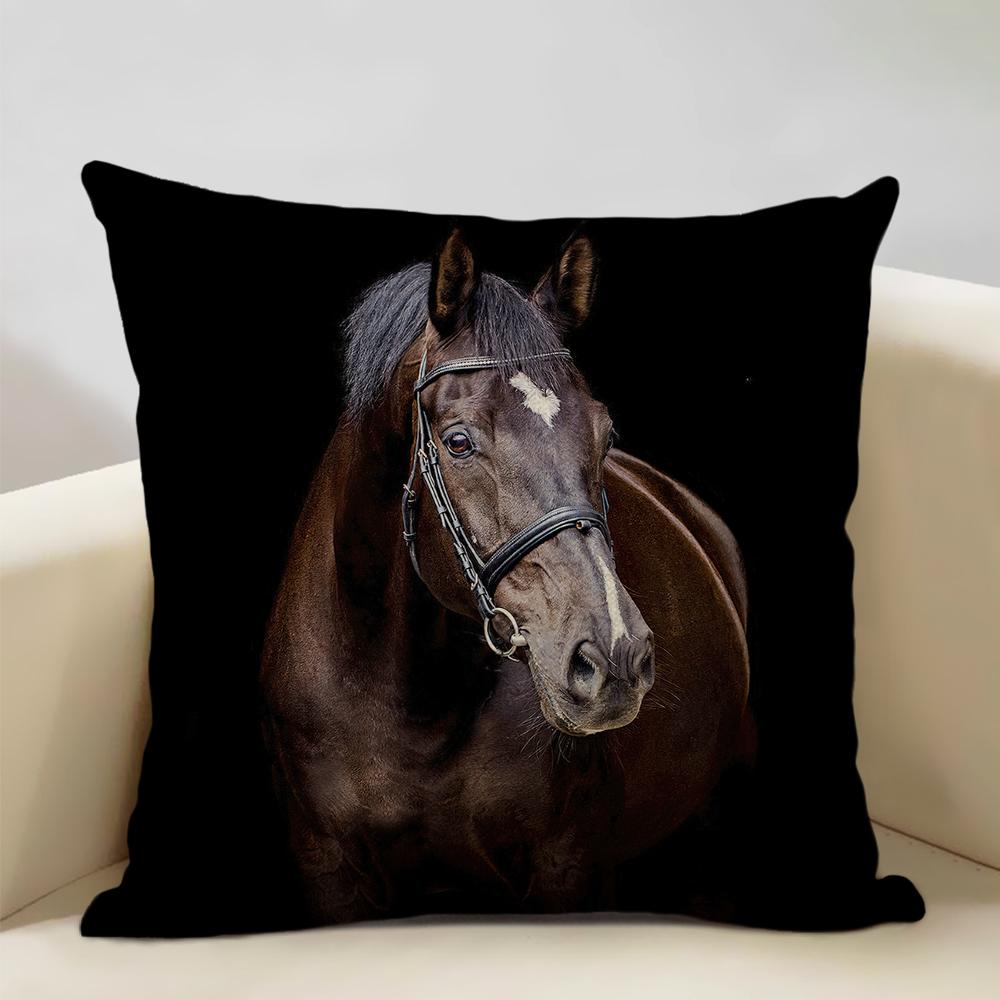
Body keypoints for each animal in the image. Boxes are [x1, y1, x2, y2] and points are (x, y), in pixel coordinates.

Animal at [260, 230, 752, 924]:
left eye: (605, 432)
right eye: (459, 442)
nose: (616, 657)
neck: (409, 704)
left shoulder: (567, 866)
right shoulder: (327, 868)